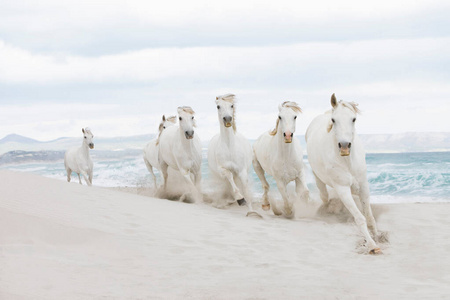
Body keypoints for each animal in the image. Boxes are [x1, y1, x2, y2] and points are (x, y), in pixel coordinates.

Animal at [304, 94, 382, 255]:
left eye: (354, 119)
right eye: (334, 120)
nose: (345, 146)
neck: (347, 162)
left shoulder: (363, 186)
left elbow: (369, 216)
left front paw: (377, 236)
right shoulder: (342, 189)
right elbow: (360, 218)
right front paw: (372, 245)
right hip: (319, 179)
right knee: (324, 196)